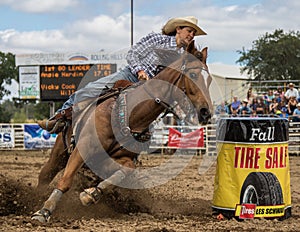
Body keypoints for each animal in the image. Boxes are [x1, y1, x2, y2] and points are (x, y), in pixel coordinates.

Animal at [31, 40, 212, 222]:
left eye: (210, 80)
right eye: (193, 75)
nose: (206, 112)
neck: (130, 115)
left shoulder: (112, 159)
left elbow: (125, 170)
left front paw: (92, 194)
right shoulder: (83, 148)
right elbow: (66, 180)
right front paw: (43, 212)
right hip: (60, 153)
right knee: (45, 174)